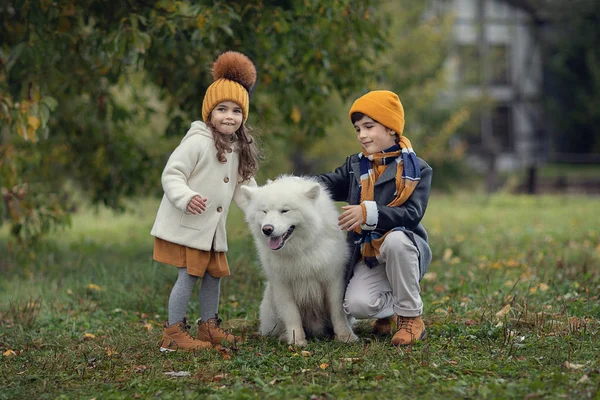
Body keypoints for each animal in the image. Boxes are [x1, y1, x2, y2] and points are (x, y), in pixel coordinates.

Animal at [241, 176, 358, 346]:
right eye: (264, 211)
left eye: (285, 210)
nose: (267, 229)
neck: (299, 249)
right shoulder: (283, 286)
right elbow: (291, 315)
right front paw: (297, 341)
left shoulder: (333, 281)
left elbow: (337, 312)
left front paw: (346, 336)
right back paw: (284, 336)